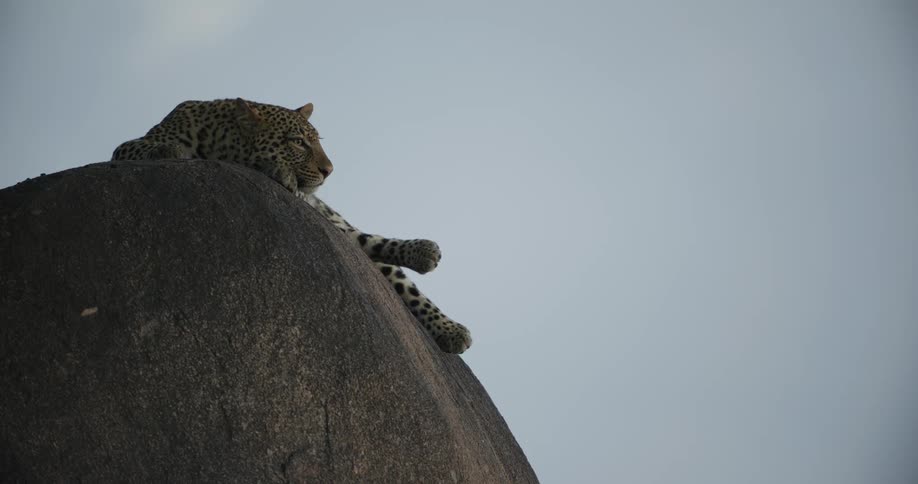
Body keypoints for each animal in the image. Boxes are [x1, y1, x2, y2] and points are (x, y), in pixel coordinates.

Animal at [111, 98, 472, 354]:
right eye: (298, 142)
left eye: (317, 141)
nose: (328, 170)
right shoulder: (124, 149)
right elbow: (158, 146)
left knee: (378, 252)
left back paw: (443, 308)